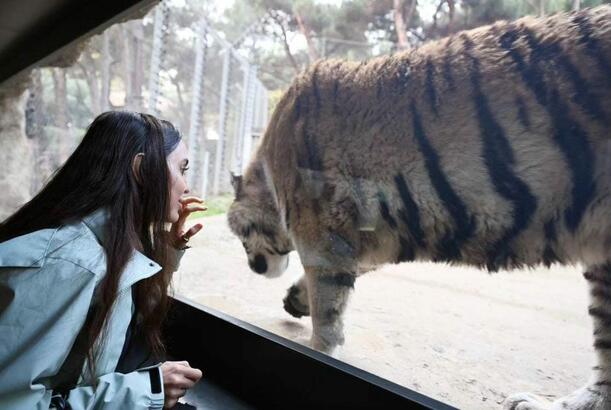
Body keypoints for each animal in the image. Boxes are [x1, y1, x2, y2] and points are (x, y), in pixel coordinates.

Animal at [227, 6, 608, 410]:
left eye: (242, 238)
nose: (253, 268)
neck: (269, 174)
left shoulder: (322, 237)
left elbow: (328, 312)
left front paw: (318, 350)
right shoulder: (366, 239)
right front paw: (296, 300)